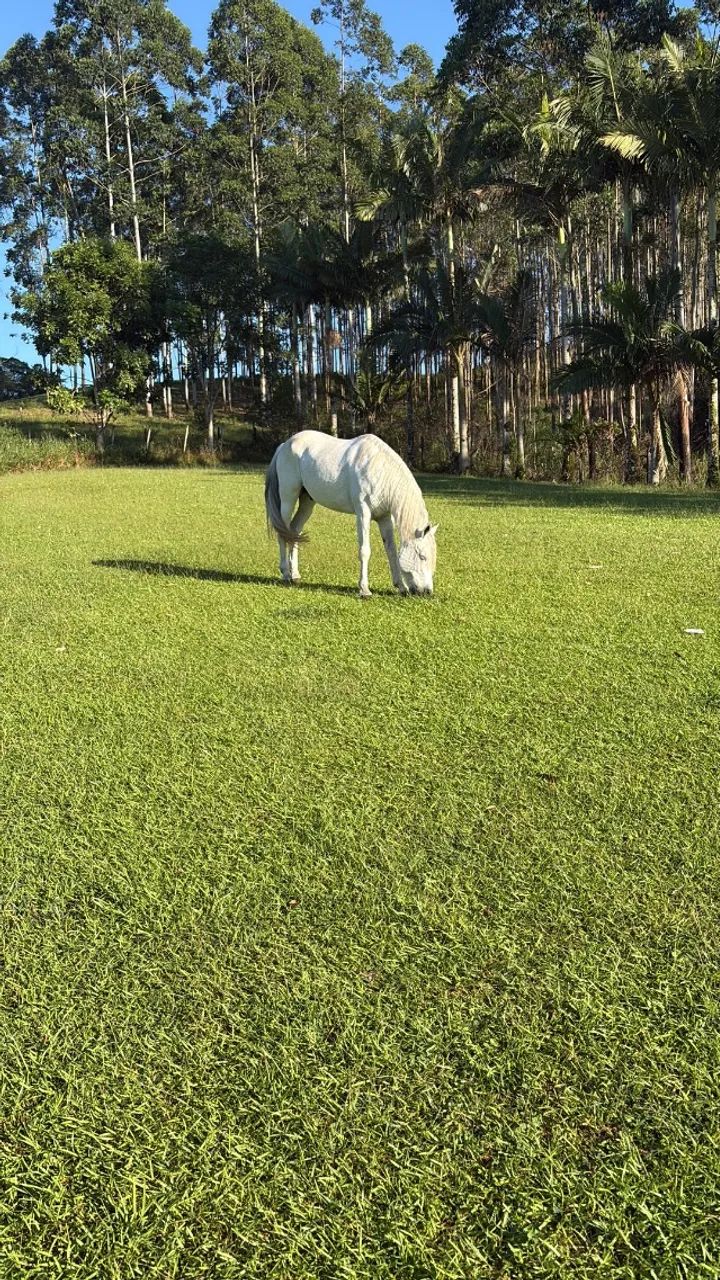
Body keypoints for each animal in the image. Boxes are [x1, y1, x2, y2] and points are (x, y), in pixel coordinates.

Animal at [264, 430, 438, 598]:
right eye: (422, 556)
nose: (427, 592)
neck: (378, 470)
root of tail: (285, 445)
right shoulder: (363, 514)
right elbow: (364, 551)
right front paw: (364, 590)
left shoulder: (384, 518)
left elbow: (391, 551)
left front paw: (401, 587)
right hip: (288, 499)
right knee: (283, 533)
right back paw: (286, 574)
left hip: (307, 502)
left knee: (294, 531)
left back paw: (295, 575)